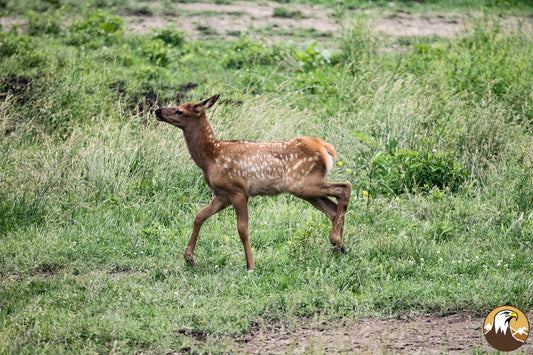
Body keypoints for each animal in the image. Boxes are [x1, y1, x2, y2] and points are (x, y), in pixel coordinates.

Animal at [156, 94, 352, 270]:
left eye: (180, 111)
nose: (158, 110)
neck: (211, 158)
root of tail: (325, 148)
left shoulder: (238, 190)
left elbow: (242, 229)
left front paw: (250, 265)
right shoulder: (222, 195)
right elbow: (199, 216)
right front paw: (189, 258)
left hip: (303, 183)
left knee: (344, 187)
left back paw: (336, 242)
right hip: (305, 189)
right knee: (333, 209)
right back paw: (338, 249)